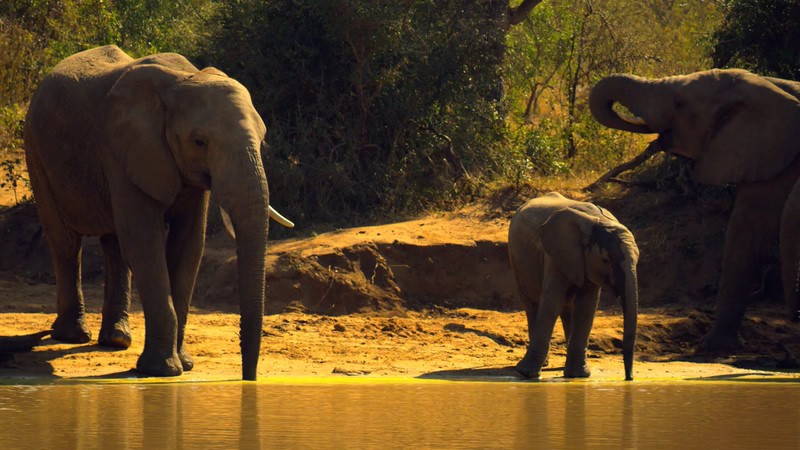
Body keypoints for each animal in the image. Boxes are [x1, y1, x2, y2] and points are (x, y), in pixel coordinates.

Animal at [24, 45, 294, 378]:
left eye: (263, 139)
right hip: (36, 150)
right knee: (65, 241)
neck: (183, 82)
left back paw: (116, 339)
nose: (248, 379)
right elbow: (145, 243)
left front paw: (184, 364)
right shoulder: (123, 147)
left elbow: (188, 246)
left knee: (114, 245)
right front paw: (163, 370)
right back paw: (73, 336)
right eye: (200, 142)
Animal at [510, 192, 640, 382]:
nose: (629, 378)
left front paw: (578, 375)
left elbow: (586, 307)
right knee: (533, 306)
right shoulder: (556, 252)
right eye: (605, 260)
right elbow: (551, 303)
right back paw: (541, 365)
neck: (598, 221)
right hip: (518, 261)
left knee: (568, 308)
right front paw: (526, 374)